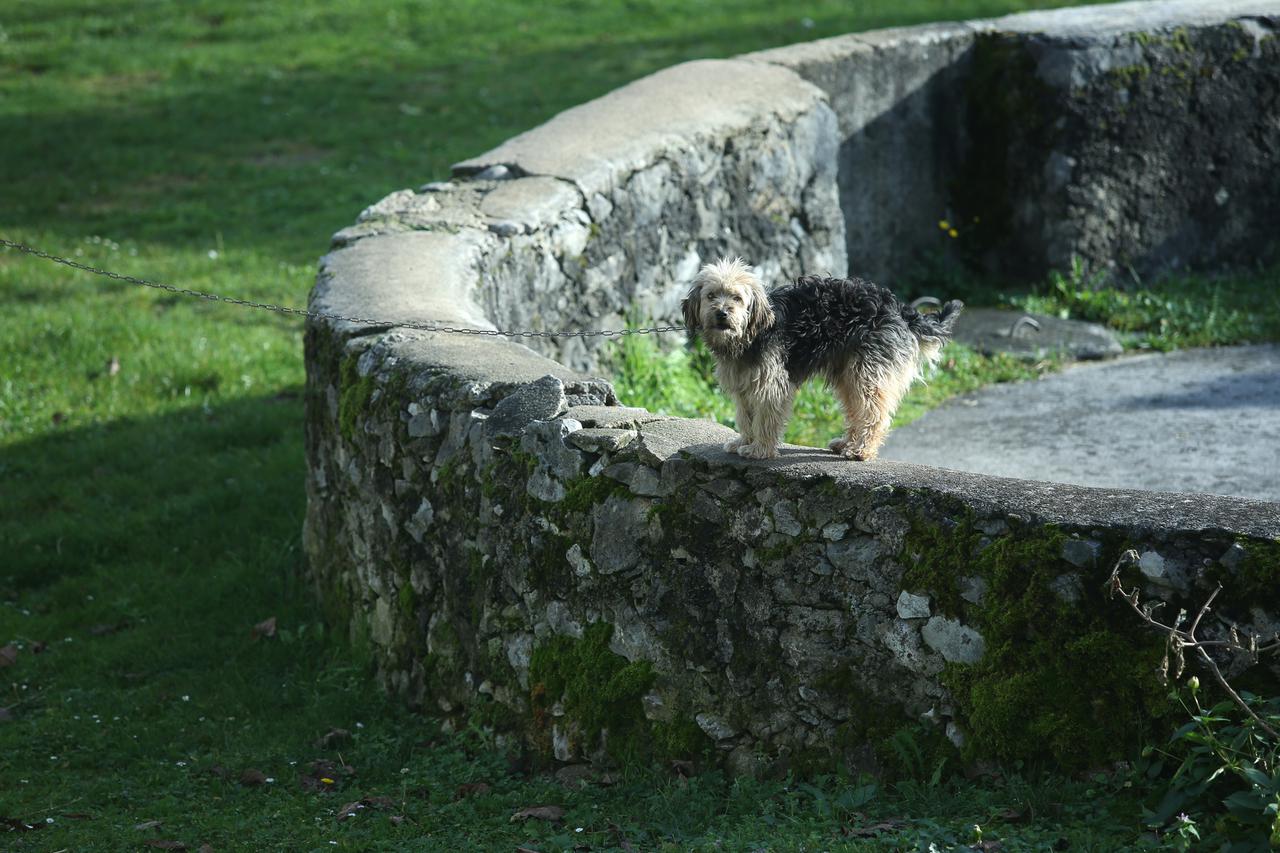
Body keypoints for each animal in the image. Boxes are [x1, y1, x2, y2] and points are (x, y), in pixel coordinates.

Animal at [680, 257, 962, 458]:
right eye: (711, 295)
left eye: (737, 298)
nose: (722, 313)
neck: (752, 333)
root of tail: (899, 308)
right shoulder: (744, 386)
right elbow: (745, 417)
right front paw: (744, 440)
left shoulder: (771, 385)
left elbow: (765, 419)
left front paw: (759, 449)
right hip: (849, 373)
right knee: (856, 411)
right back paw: (847, 443)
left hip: (868, 373)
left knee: (875, 413)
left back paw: (862, 450)